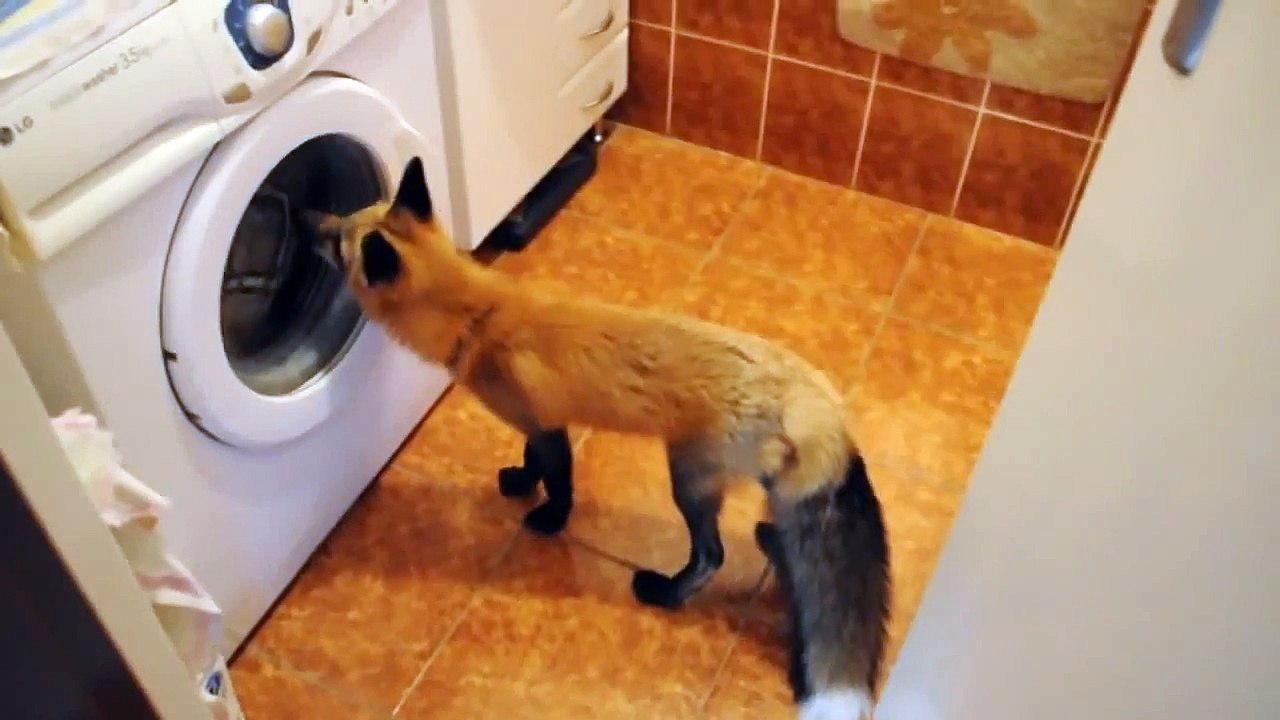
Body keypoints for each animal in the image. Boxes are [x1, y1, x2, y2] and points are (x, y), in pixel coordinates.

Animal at [302, 157, 892, 719]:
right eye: (344, 219)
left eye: (337, 240)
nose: (306, 216)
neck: (479, 317)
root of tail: (816, 402)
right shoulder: (538, 421)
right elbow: (530, 463)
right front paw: (521, 484)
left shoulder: (545, 424)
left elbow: (559, 481)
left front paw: (548, 519)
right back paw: (771, 548)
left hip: (688, 480)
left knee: (712, 555)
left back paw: (666, 592)